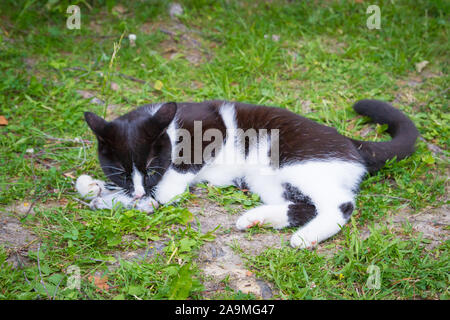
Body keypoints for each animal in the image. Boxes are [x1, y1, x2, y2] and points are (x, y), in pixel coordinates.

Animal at [77, 99, 418, 248]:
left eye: (151, 170)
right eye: (121, 174)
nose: (136, 190)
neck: (172, 131)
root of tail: (351, 142)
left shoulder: (204, 138)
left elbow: (162, 194)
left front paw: (128, 200)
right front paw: (97, 189)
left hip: (297, 162)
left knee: (340, 204)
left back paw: (305, 237)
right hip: (267, 180)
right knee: (305, 206)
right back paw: (257, 218)